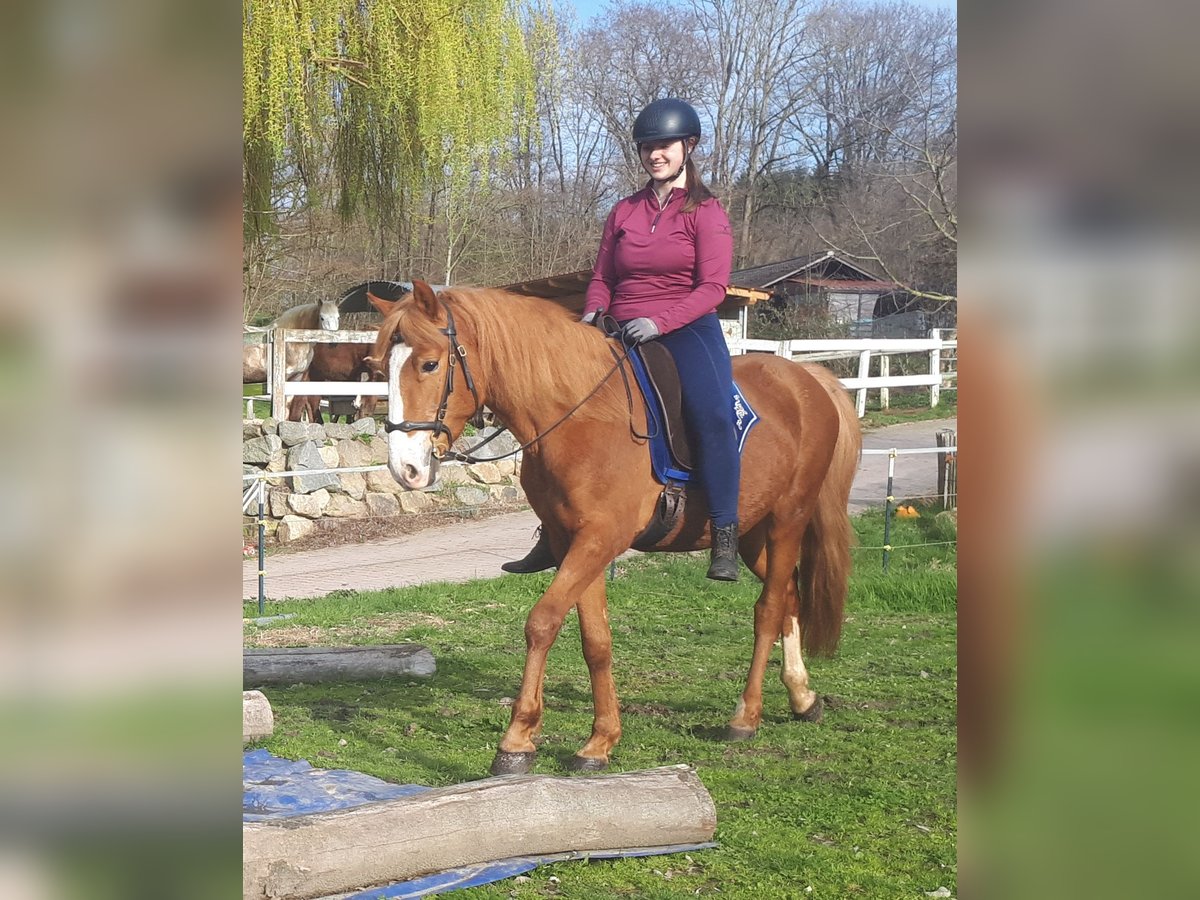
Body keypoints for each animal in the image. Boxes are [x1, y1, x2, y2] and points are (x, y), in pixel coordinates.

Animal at [367, 282, 864, 777]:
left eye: (430, 364)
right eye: (381, 366)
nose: (405, 469)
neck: (579, 417)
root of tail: (805, 379)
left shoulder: (601, 539)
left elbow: (542, 623)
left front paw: (517, 739)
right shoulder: (574, 541)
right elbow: (596, 640)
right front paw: (599, 741)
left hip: (787, 522)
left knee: (769, 608)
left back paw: (746, 715)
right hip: (754, 535)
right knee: (790, 598)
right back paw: (802, 697)